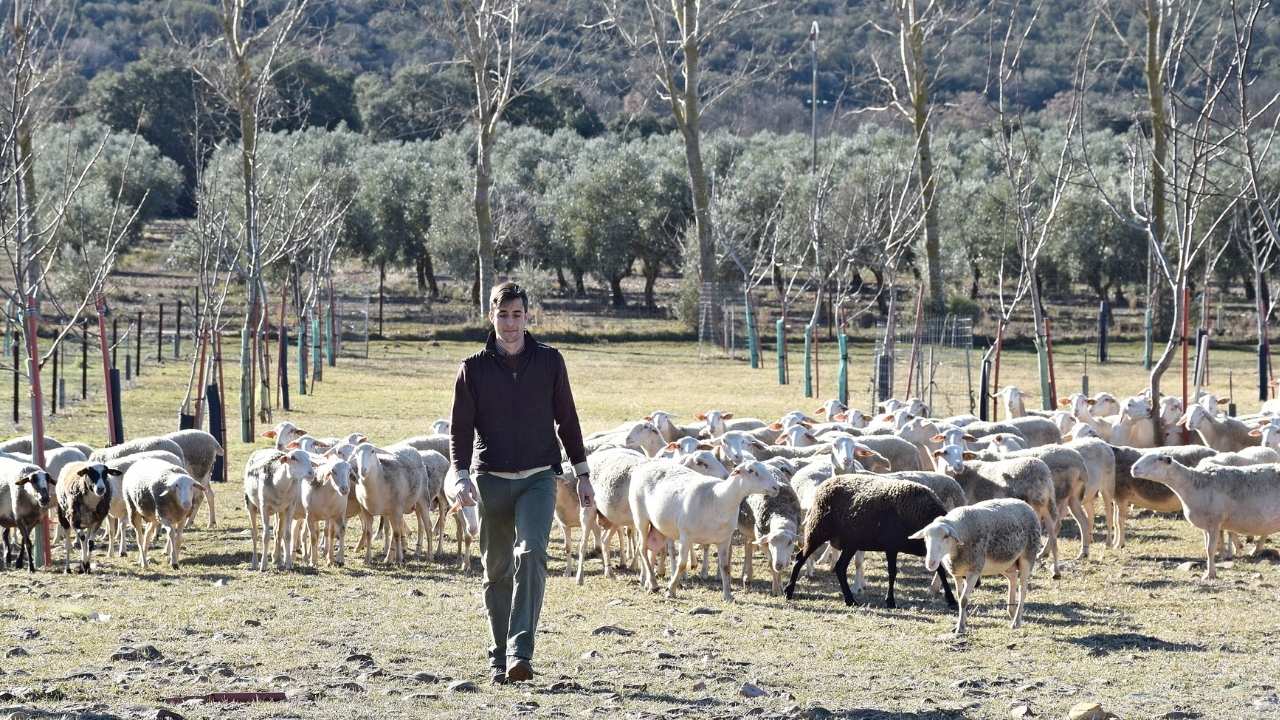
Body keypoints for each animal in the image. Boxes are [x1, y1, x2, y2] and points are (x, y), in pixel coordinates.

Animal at [629, 458, 778, 599]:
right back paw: (654, 584)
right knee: (642, 549)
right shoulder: (686, 536)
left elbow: (725, 567)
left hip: (658, 526)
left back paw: (649, 583)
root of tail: (647, 465)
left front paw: (728, 595)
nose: (776, 487)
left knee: (652, 549)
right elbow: (682, 564)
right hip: (641, 518)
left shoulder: (724, 539)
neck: (718, 499)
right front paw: (671, 590)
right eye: (751, 471)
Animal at [783, 474, 957, 607]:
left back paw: (850, 600)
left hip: (850, 543)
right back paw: (789, 591)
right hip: (817, 531)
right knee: (800, 558)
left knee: (840, 568)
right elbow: (892, 573)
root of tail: (824, 485)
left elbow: (940, 571)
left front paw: (951, 600)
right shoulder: (891, 546)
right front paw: (890, 601)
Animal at [911, 497, 1039, 630]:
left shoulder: (974, 571)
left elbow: (964, 599)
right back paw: (1012, 613)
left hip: (1028, 556)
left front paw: (960, 627)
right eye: (925, 537)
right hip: (1006, 562)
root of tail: (1025, 504)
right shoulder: (957, 572)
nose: (930, 563)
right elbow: (960, 596)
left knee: (1023, 589)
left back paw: (1016, 621)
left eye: (946, 536)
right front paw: (962, 622)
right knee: (1013, 578)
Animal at [1131, 453, 1280, 576]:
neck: (1192, 485)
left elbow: (1210, 549)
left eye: (1158, 459)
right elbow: (1206, 548)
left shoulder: (1214, 522)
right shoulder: (1205, 526)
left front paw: (1210, 574)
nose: (1133, 468)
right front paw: (1211, 572)